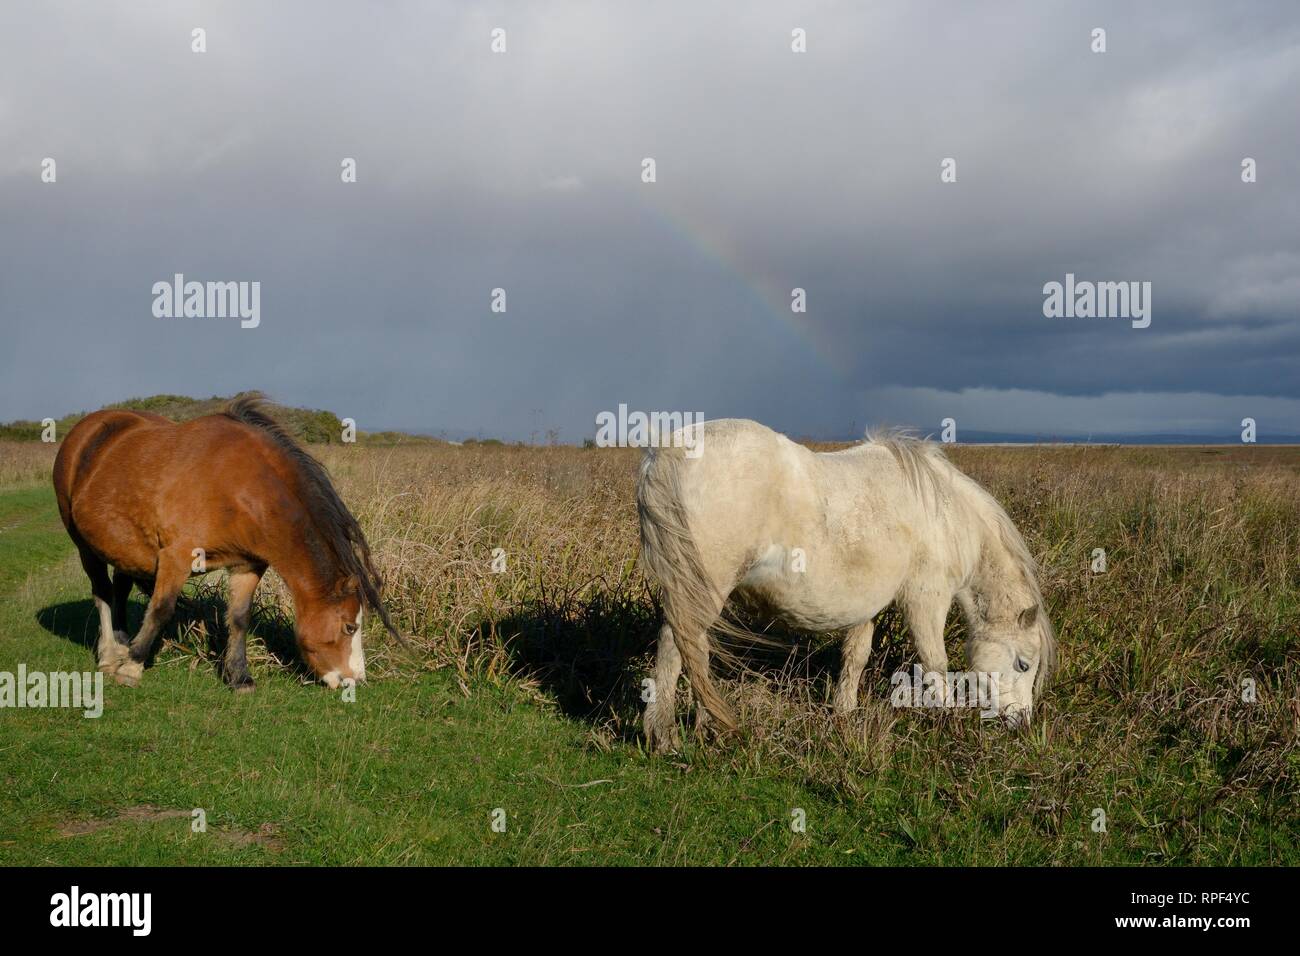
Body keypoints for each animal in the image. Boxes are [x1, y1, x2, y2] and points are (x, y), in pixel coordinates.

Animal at [52, 392, 400, 691]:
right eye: (350, 627)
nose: (355, 681)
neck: (237, 488)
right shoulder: (177, 558)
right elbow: (161, 609)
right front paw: (133, 666)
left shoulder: (248, 565)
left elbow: (240, 618)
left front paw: (239, 676)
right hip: (84, 545)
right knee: (102, 592)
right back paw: (111, 655)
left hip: (126, 549)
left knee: (120, 590)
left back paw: (124, 643)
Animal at [637, 421, 1055, 749]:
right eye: (1023, 663)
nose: (1021, 723)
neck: (943, 516)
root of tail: (666, 452)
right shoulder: (925, 599)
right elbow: (934, 661)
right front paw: (946, 719)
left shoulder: (868, 605)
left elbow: (856, 655)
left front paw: (844, 712)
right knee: (678, 647)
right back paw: (668, 735)